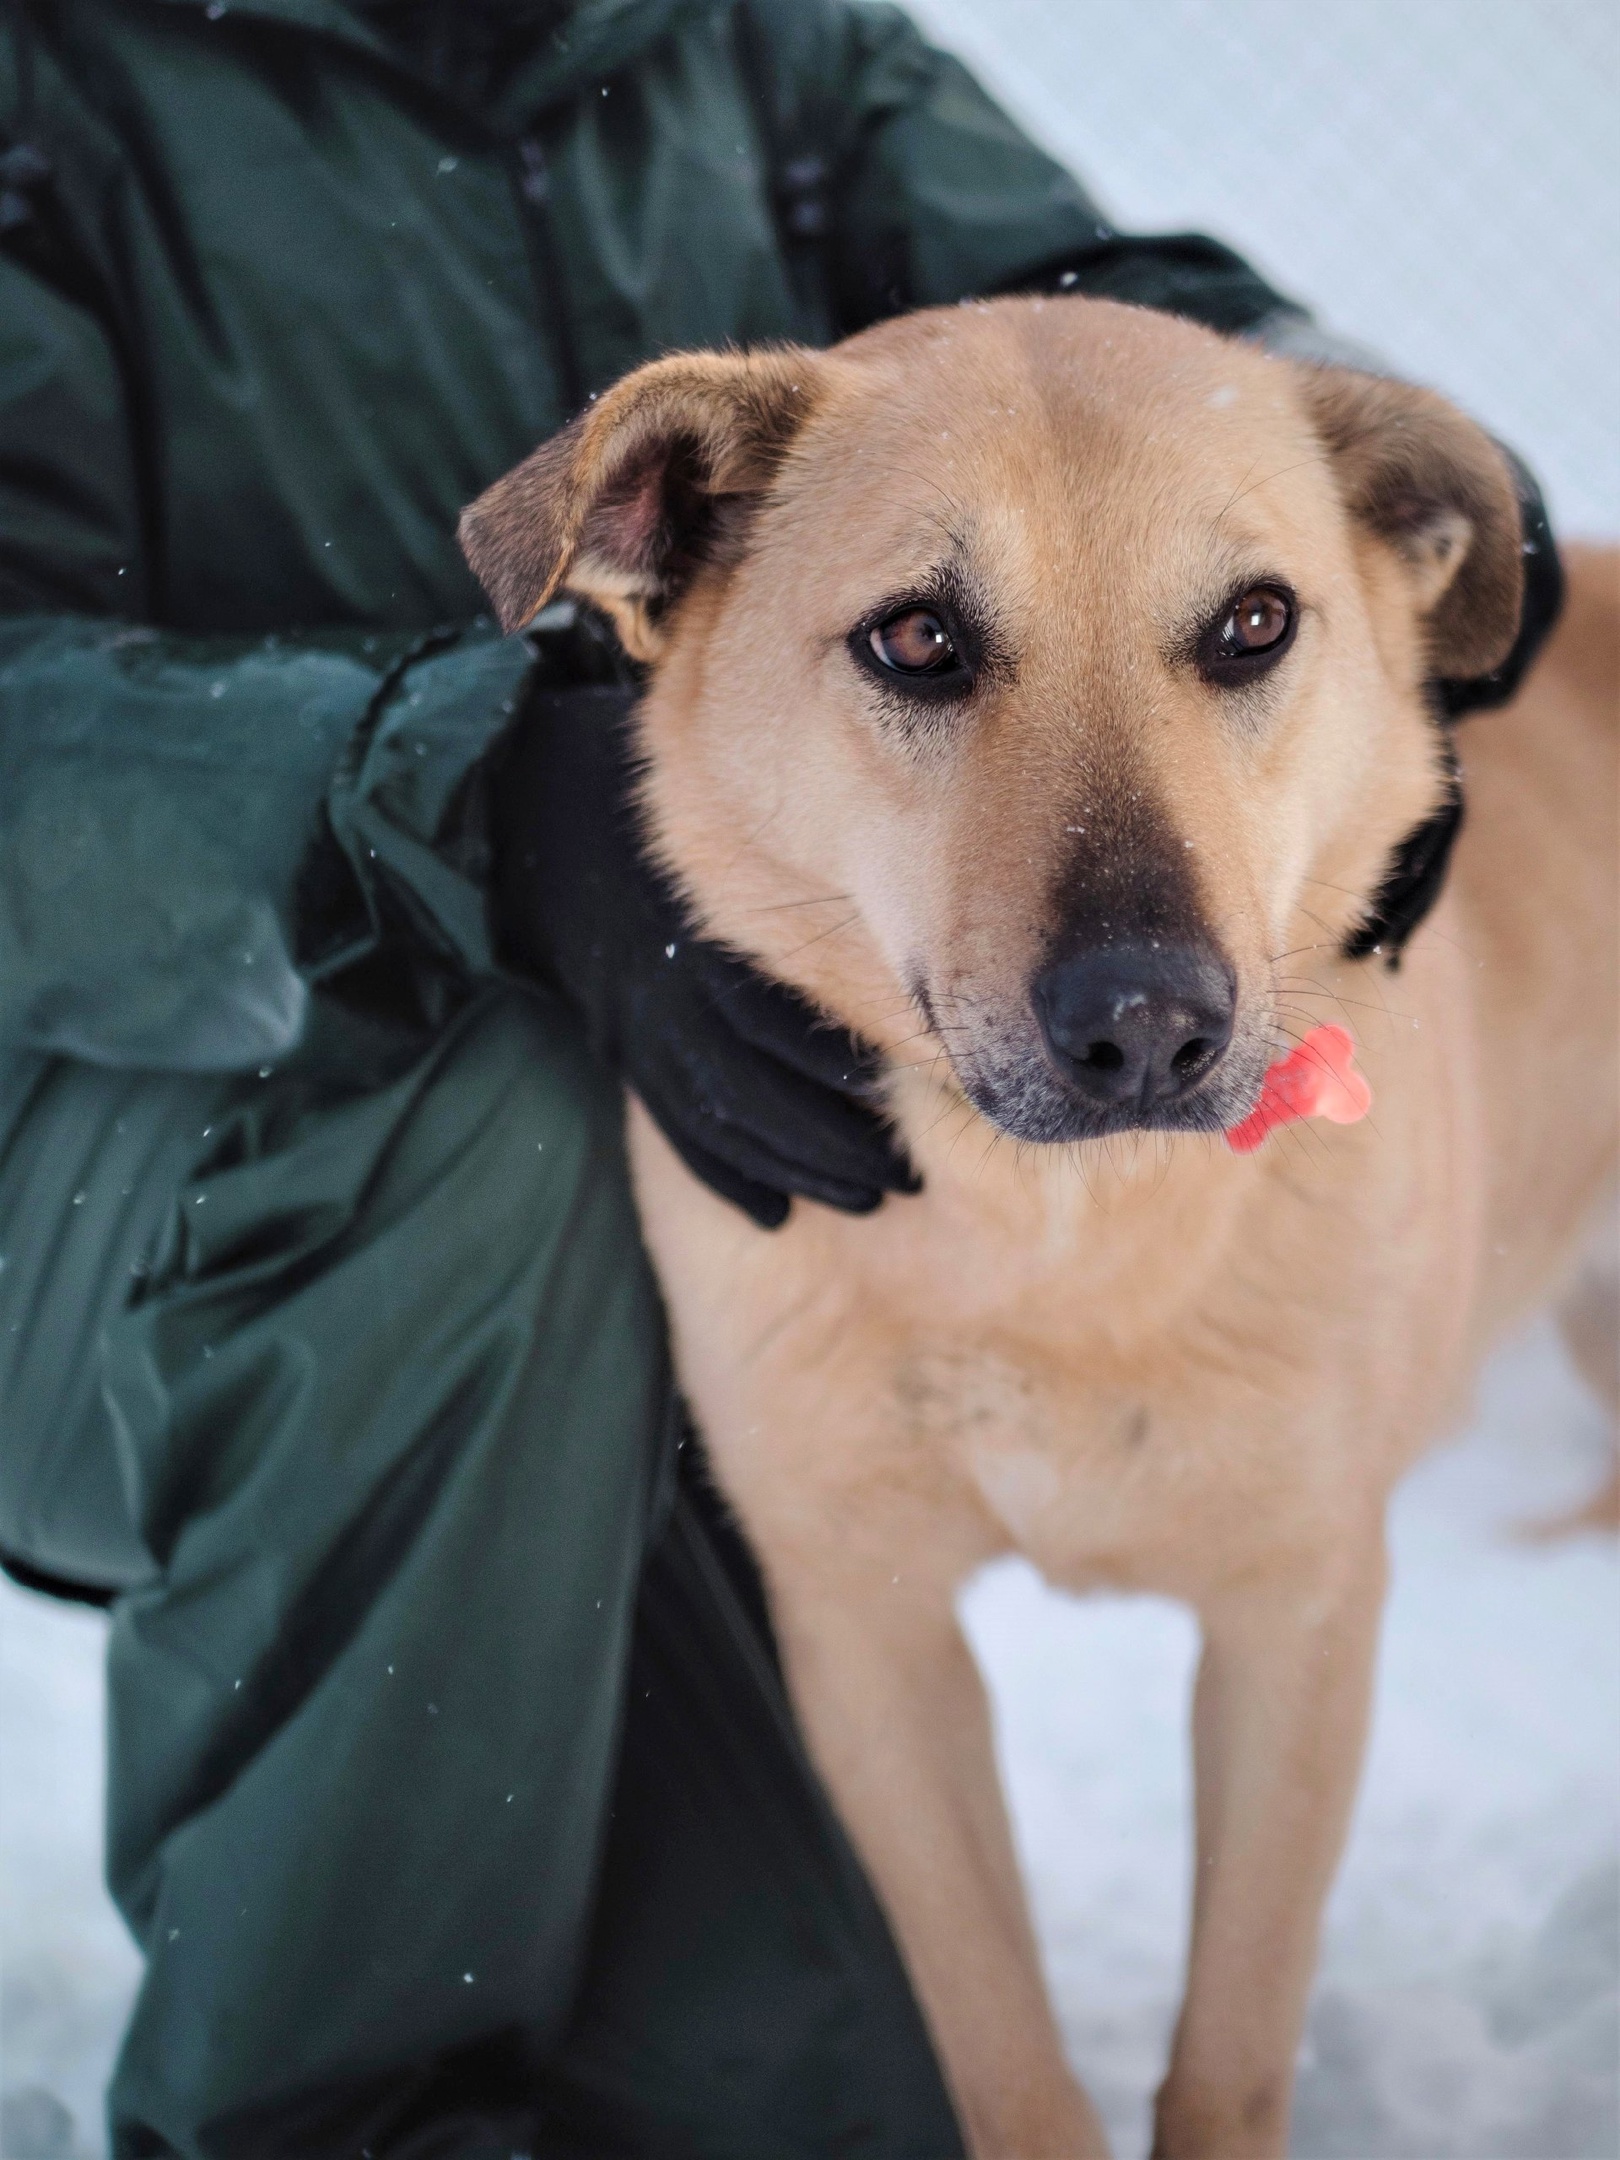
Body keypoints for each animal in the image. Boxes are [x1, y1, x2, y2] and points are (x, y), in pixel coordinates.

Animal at [460, 291, 1620, 2160]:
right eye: (919, 638)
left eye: (1253, 624)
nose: (1147, 1025)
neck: (1054, 1247)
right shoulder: (866, 1629)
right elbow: (1001, 2046)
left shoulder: (1299, 1617)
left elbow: (1230, 2052)